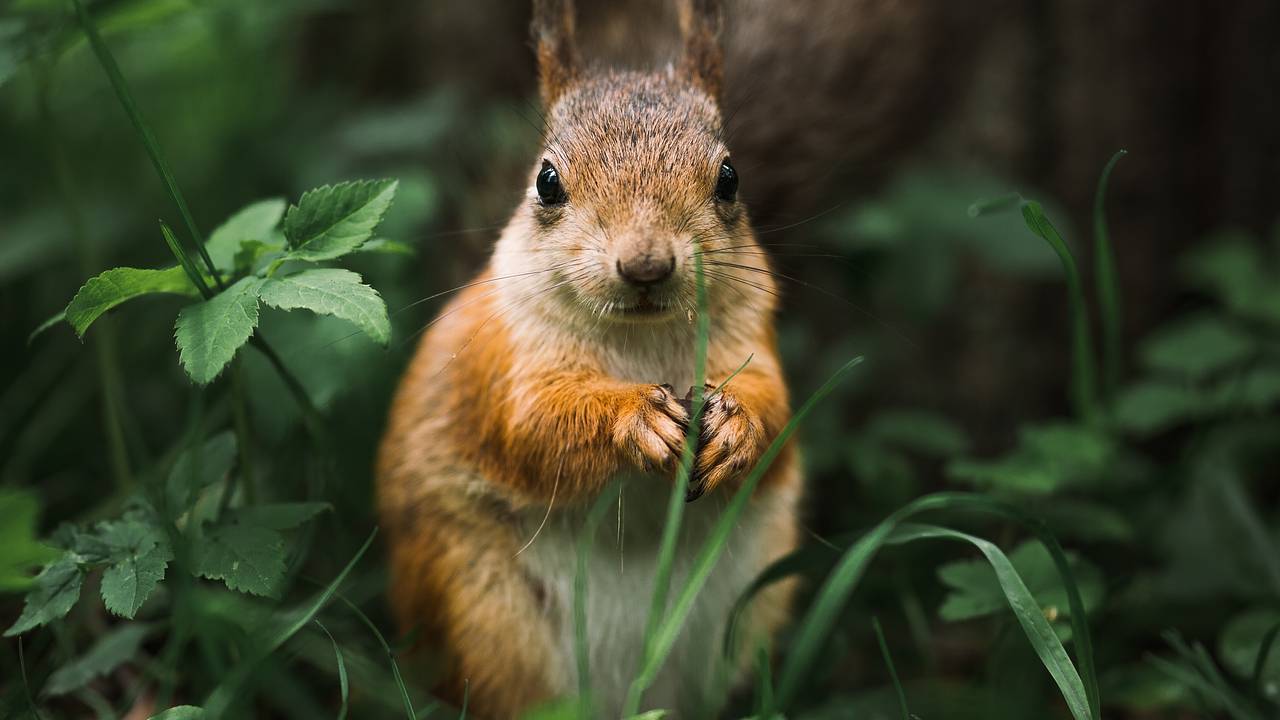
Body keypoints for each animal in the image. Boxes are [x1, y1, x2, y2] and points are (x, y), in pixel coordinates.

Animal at [373, 2, 798, 712]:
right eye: (547, 182)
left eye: (730, 177)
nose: (646, 265)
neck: (639, 343)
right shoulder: (502, 366)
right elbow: (533, 428)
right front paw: (636, 419)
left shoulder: (753, 344)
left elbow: (779, 415)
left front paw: (735, 428)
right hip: (477, 610)